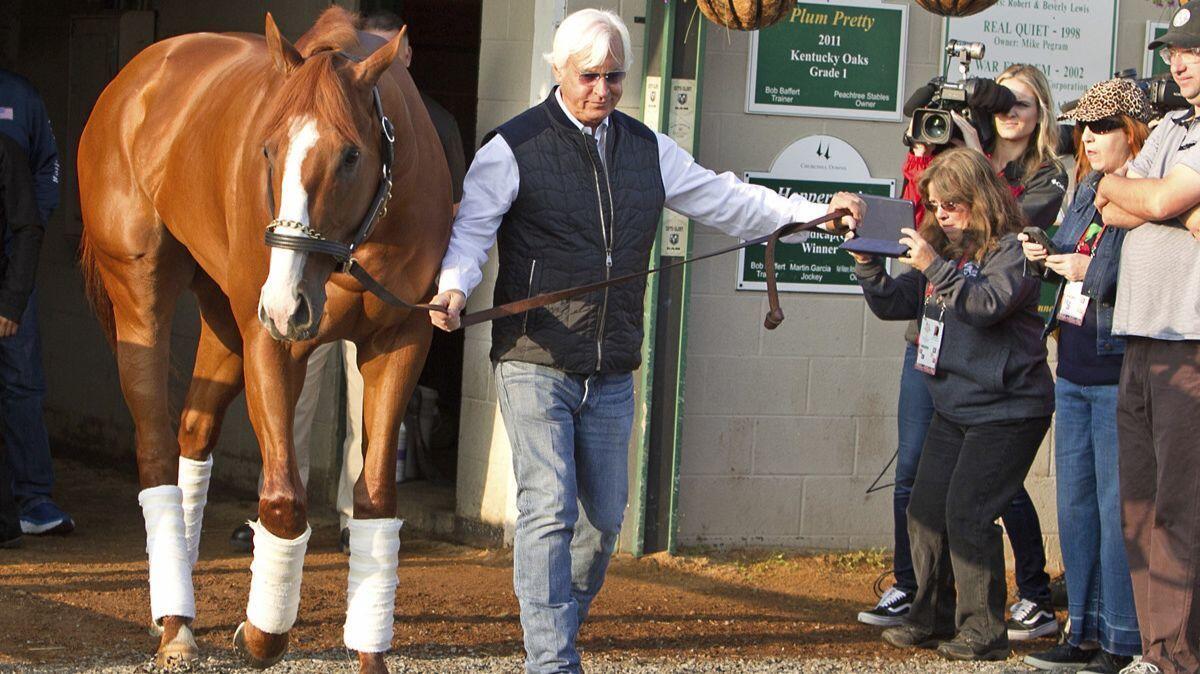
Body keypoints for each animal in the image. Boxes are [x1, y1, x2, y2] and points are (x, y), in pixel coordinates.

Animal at [75, 7, 451, 666]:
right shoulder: (271, 343)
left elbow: (376, 496)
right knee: (155, 451)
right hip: (143, 299)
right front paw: (260, 633)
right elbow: (281, 500)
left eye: (351, 155)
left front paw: (370, 652)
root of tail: (136, 76)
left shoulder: (401, 341)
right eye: (270, 149)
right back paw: (174, 623)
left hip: (223, 319)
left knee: (193, 432)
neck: (356, 247)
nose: (285, 302)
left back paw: (177, 611)